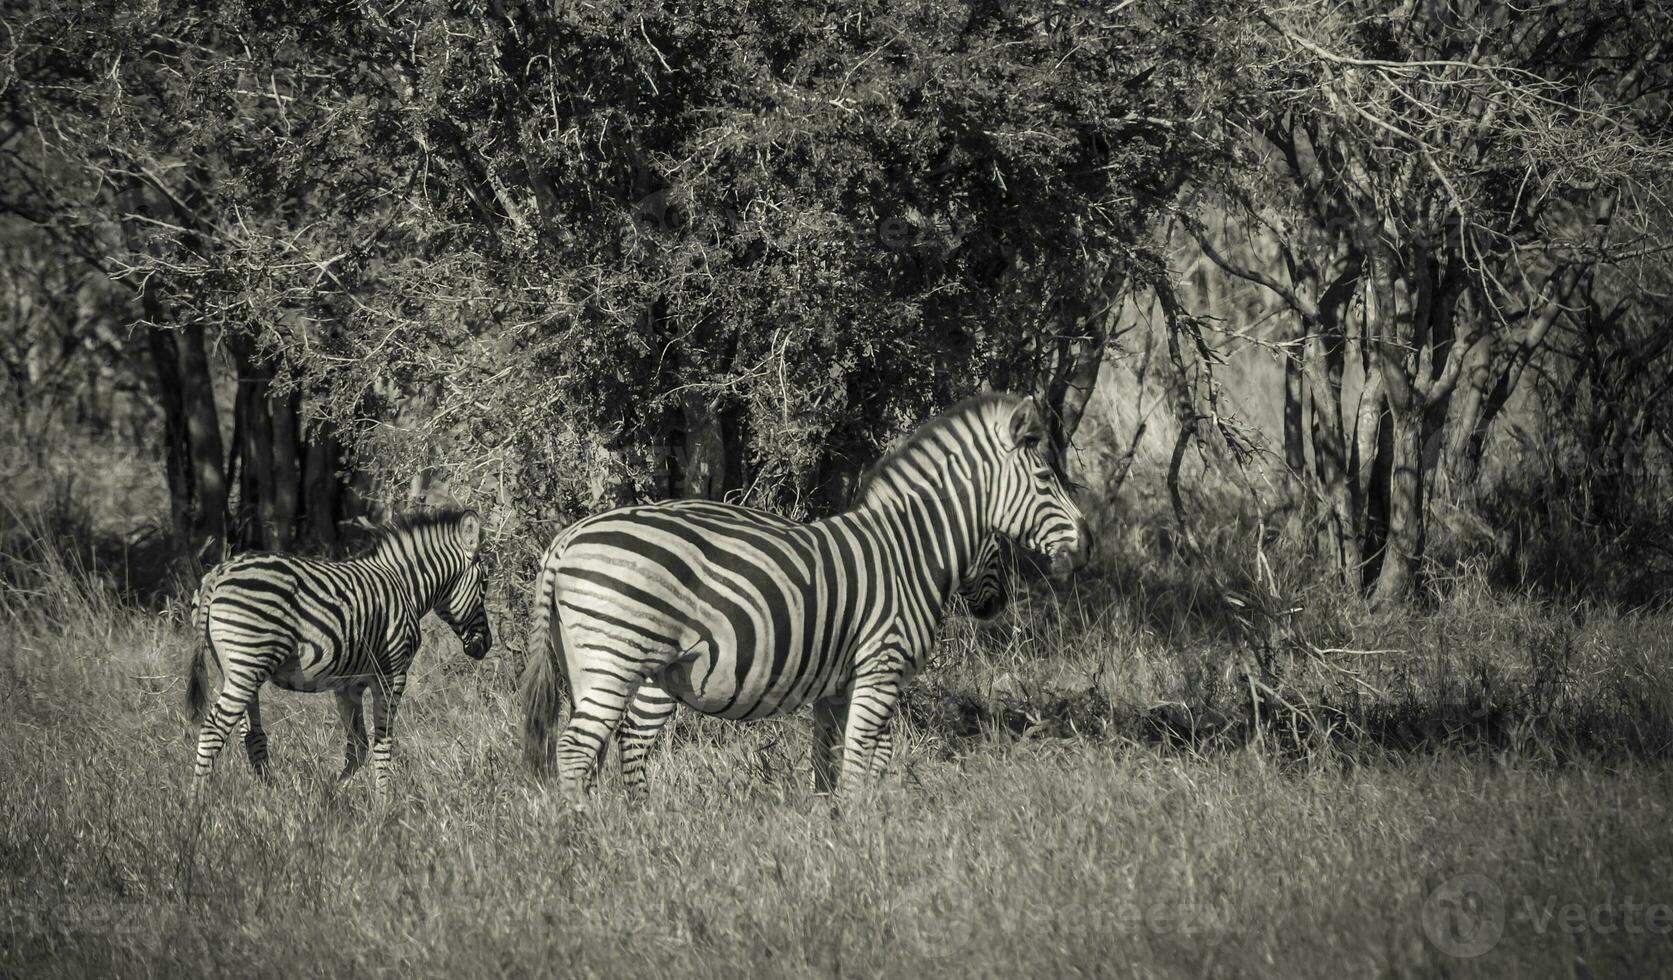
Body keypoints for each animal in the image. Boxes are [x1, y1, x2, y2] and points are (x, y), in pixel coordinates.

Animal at [188, 505, 495, 792]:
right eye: (485, 583)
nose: (486, 644)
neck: (404, 586)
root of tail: (219, 572)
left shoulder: (348, 685)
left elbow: (358, 745)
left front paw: (335, 794)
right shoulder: (393, 674)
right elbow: (383, 740)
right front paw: (385, 801)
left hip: (238, 668)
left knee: (251, 734)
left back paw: (269, 794)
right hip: (249, 662)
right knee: (214, 729)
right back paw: (199, 801)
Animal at [515, 393, 1084, 796]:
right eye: (1045, 477)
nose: (1085, 545)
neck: (907, 551)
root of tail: (567, 538)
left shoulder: (838, 686)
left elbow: (831, 765)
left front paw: (833, 837)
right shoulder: (882, 667)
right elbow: (863, 761)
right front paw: (864, 838)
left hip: (604, 665)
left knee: (610, 748)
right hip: (615, 657)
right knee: (577, 750)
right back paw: (583, 838)